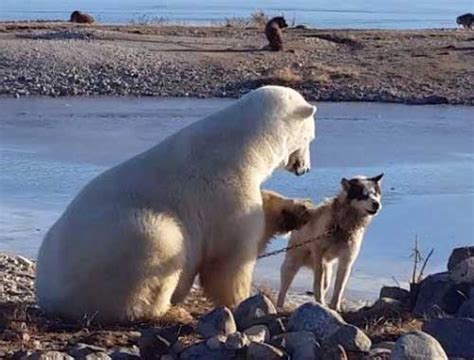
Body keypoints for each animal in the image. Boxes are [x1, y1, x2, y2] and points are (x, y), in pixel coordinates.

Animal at [35, 85, 316, 324]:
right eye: (311, 138)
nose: (305, 168)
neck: (245, 146)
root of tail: (49, 295)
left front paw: (298, 211)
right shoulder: (226, 190)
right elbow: (229, 259)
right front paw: (242, 300)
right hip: (124, 243)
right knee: (162, 245)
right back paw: (171, 311)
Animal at [276, 173, 384, 310]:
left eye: (375, 194)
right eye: (363, 195)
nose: (376, 204)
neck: (341, 225)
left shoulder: (346, 260)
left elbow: (339, 287)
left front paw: (334, 307)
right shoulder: (319, 254)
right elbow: (318, 282)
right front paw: (320, 302)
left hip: (328, 270)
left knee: (325, 283)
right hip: (291, 265)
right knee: (283, 290)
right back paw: (279, 306)